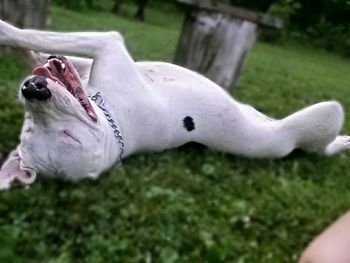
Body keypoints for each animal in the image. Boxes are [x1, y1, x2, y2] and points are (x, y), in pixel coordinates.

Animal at [0, 19, 348, 190]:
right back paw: (342, 143)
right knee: (320, 146)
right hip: (322, 116)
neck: (115, 125)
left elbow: (38, 43)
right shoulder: (108, 47)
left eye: (69, 136)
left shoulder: (101, 51)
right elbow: (36, 38)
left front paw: (19, 46)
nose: (34, 89)